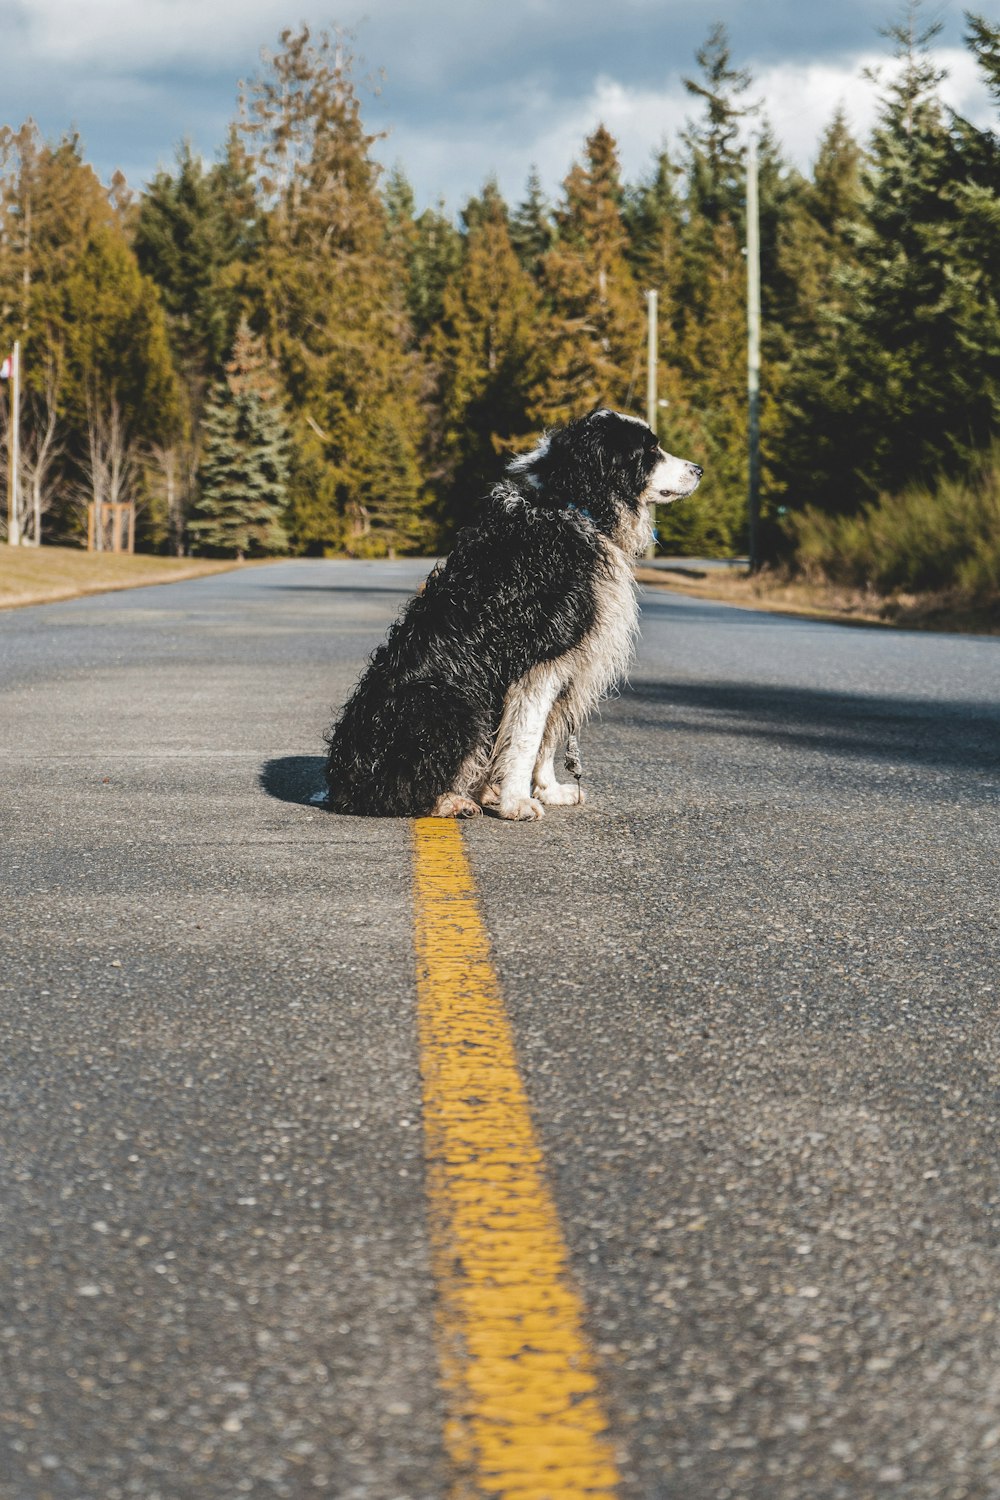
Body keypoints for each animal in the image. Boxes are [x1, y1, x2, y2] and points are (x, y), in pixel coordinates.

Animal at [325, 414, 701, 822]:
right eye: (650, 449)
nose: (699, 469)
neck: (573, 505)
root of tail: (340, 785)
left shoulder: (566, 662)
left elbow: (546, 739)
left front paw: (549, 790)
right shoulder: (540, 660)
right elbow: (526, 738)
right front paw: (517, 801)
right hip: (453, 703)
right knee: (395, 792)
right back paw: (451, 800)